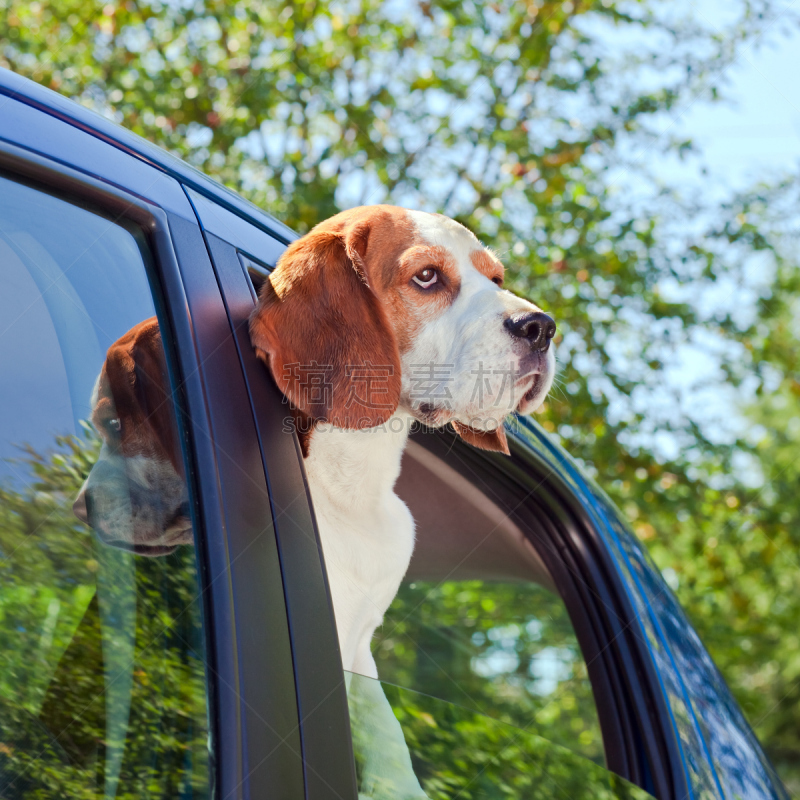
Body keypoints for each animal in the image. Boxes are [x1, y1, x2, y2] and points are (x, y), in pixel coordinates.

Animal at [250, 205, 556, 792]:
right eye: (427, 277)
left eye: (496, 278)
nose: (542, 327)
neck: (354, 483)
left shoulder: (360, 646)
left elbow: (387, 736)